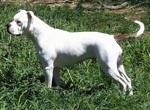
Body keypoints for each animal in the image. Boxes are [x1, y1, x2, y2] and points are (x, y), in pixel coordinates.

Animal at [6, 9, 145, 95]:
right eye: (12, 19)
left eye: (19, 22)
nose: (7, 25)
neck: (40, 33)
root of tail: (112, 37)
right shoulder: (55, 68)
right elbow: (58, 83)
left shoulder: (47, 67)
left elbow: (48, 84)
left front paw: (46, 94)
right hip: (118, 66)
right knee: (128, 81)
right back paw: (129, 96)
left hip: (109, 68)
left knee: (123, 82)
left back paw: (121, 96)